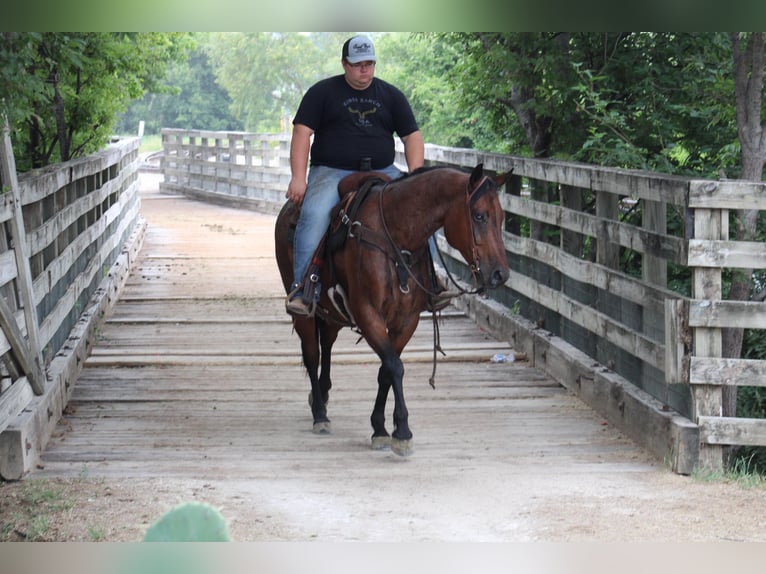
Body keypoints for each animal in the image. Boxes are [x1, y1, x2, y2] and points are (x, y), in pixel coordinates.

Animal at [276, 164, 510, 456]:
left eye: (501, 217)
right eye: (479, 216)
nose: (500, 274)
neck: (397, 238)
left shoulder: (406, 320)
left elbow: (386, 370)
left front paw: (379, 427)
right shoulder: (368, 314)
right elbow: (395, 367)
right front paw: (402, 432)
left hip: (331, 312)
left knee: (327, 344)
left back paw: (323, 392)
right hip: (303, 309)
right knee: (312, 353)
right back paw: (320, 414)